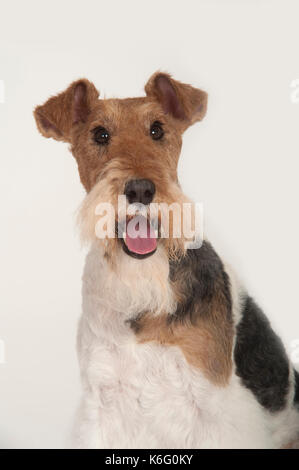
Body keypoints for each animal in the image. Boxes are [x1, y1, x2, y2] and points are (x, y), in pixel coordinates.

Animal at [33, 72, 299, 448]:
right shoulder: (104, 400)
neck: (143, 293)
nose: (140, 189)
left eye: (157, 130)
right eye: (100, 134)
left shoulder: (214, 408)